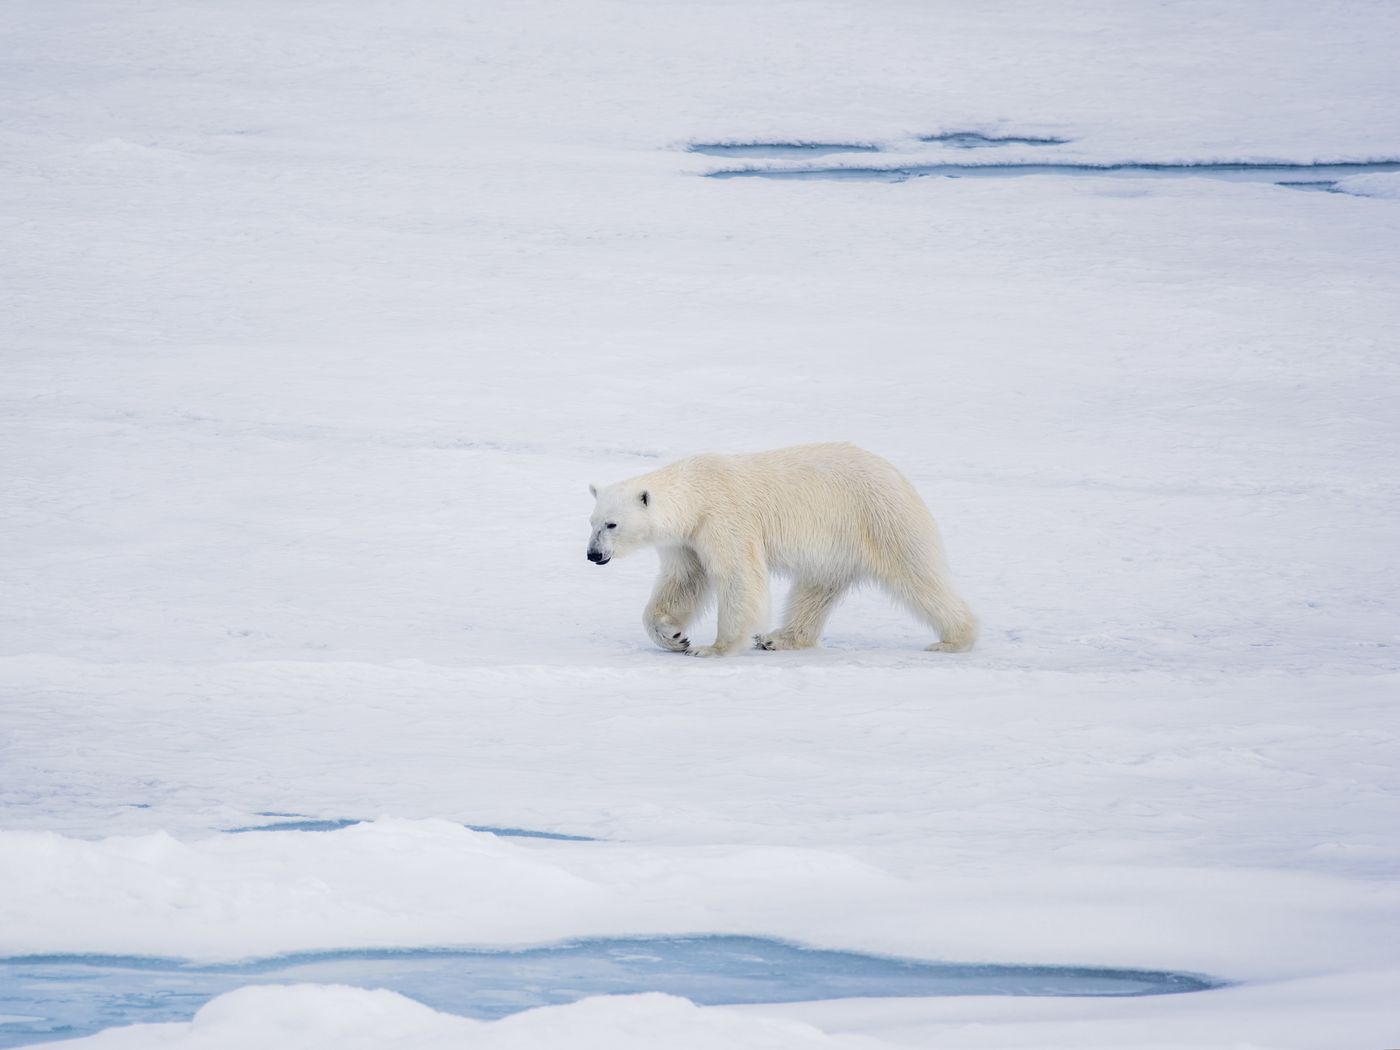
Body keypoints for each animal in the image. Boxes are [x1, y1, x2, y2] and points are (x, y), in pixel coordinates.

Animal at [586, 443, 977, 657]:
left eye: (612, 524)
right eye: (591, 522)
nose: (593, 555)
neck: (697, 493)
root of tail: (897, 474)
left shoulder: (724, 519)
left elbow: (739, 576)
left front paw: (712, 647)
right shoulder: (686, 540)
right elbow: (683, 581)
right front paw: (674, 636)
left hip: (880, 517)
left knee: (918, 575)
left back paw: (954, 639)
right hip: (836, 545)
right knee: (815, 589)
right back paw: (778, 638)